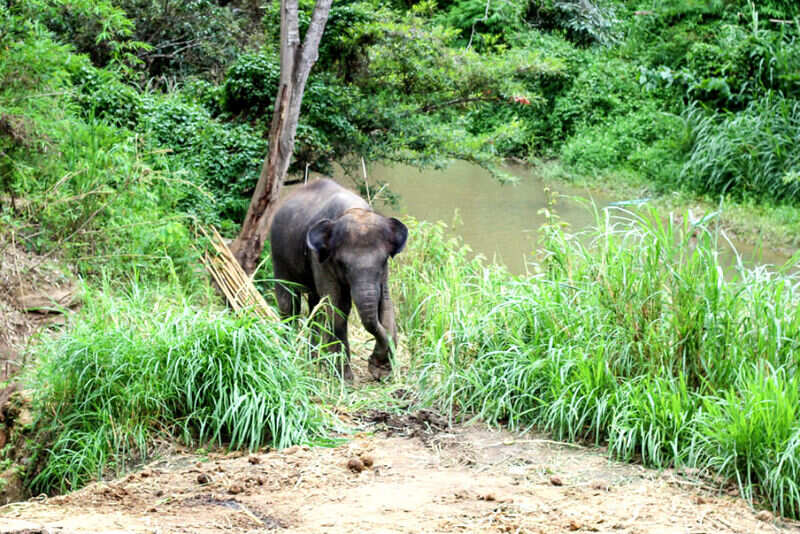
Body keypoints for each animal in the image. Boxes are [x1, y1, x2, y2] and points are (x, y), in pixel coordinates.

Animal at [269, 178, 408, 381]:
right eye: (342, 264)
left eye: (383, 260)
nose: (371, 361)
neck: (354, 209)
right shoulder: (321, 258)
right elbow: (337, 307)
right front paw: (345, 378)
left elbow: (386, 304)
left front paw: (381, 372)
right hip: (278, 253)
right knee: (289, 303)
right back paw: (293, 354)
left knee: (316, 307)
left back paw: (314, 362)